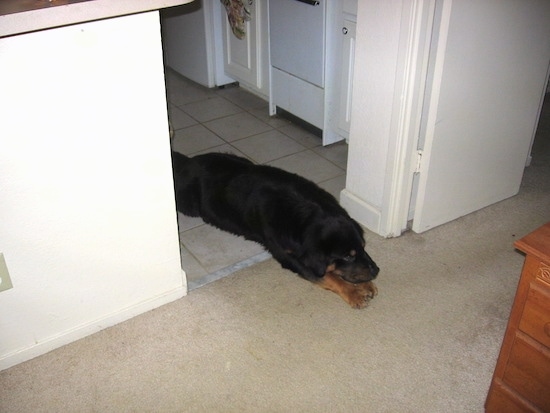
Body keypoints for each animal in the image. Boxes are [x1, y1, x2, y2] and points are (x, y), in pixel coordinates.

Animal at [172, 150, 380, 306]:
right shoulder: (288, 256)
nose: (376, 271)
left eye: (363, 247)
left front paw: (366, 284)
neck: (304, 214)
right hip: (187, 203)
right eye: (347, 256)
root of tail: (189, 161)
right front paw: (354, 293)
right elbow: (327, 276)